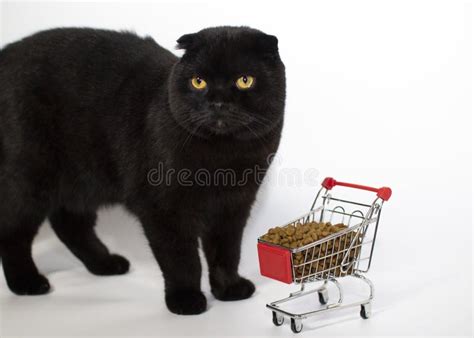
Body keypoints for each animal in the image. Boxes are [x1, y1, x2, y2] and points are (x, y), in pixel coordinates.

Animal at [0, 26, 286, 314]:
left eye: (244, 80)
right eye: (198, 82)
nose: (217, 103)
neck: (222, 159)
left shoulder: (233, 206)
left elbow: (226, 253)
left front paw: (229, 289)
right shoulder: (163, 209)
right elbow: (182, 259)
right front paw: (185, 300)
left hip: (83, 182)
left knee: (69, 223)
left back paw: (106, 264)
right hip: (29, 177)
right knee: (13, 230)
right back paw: (27, 282)